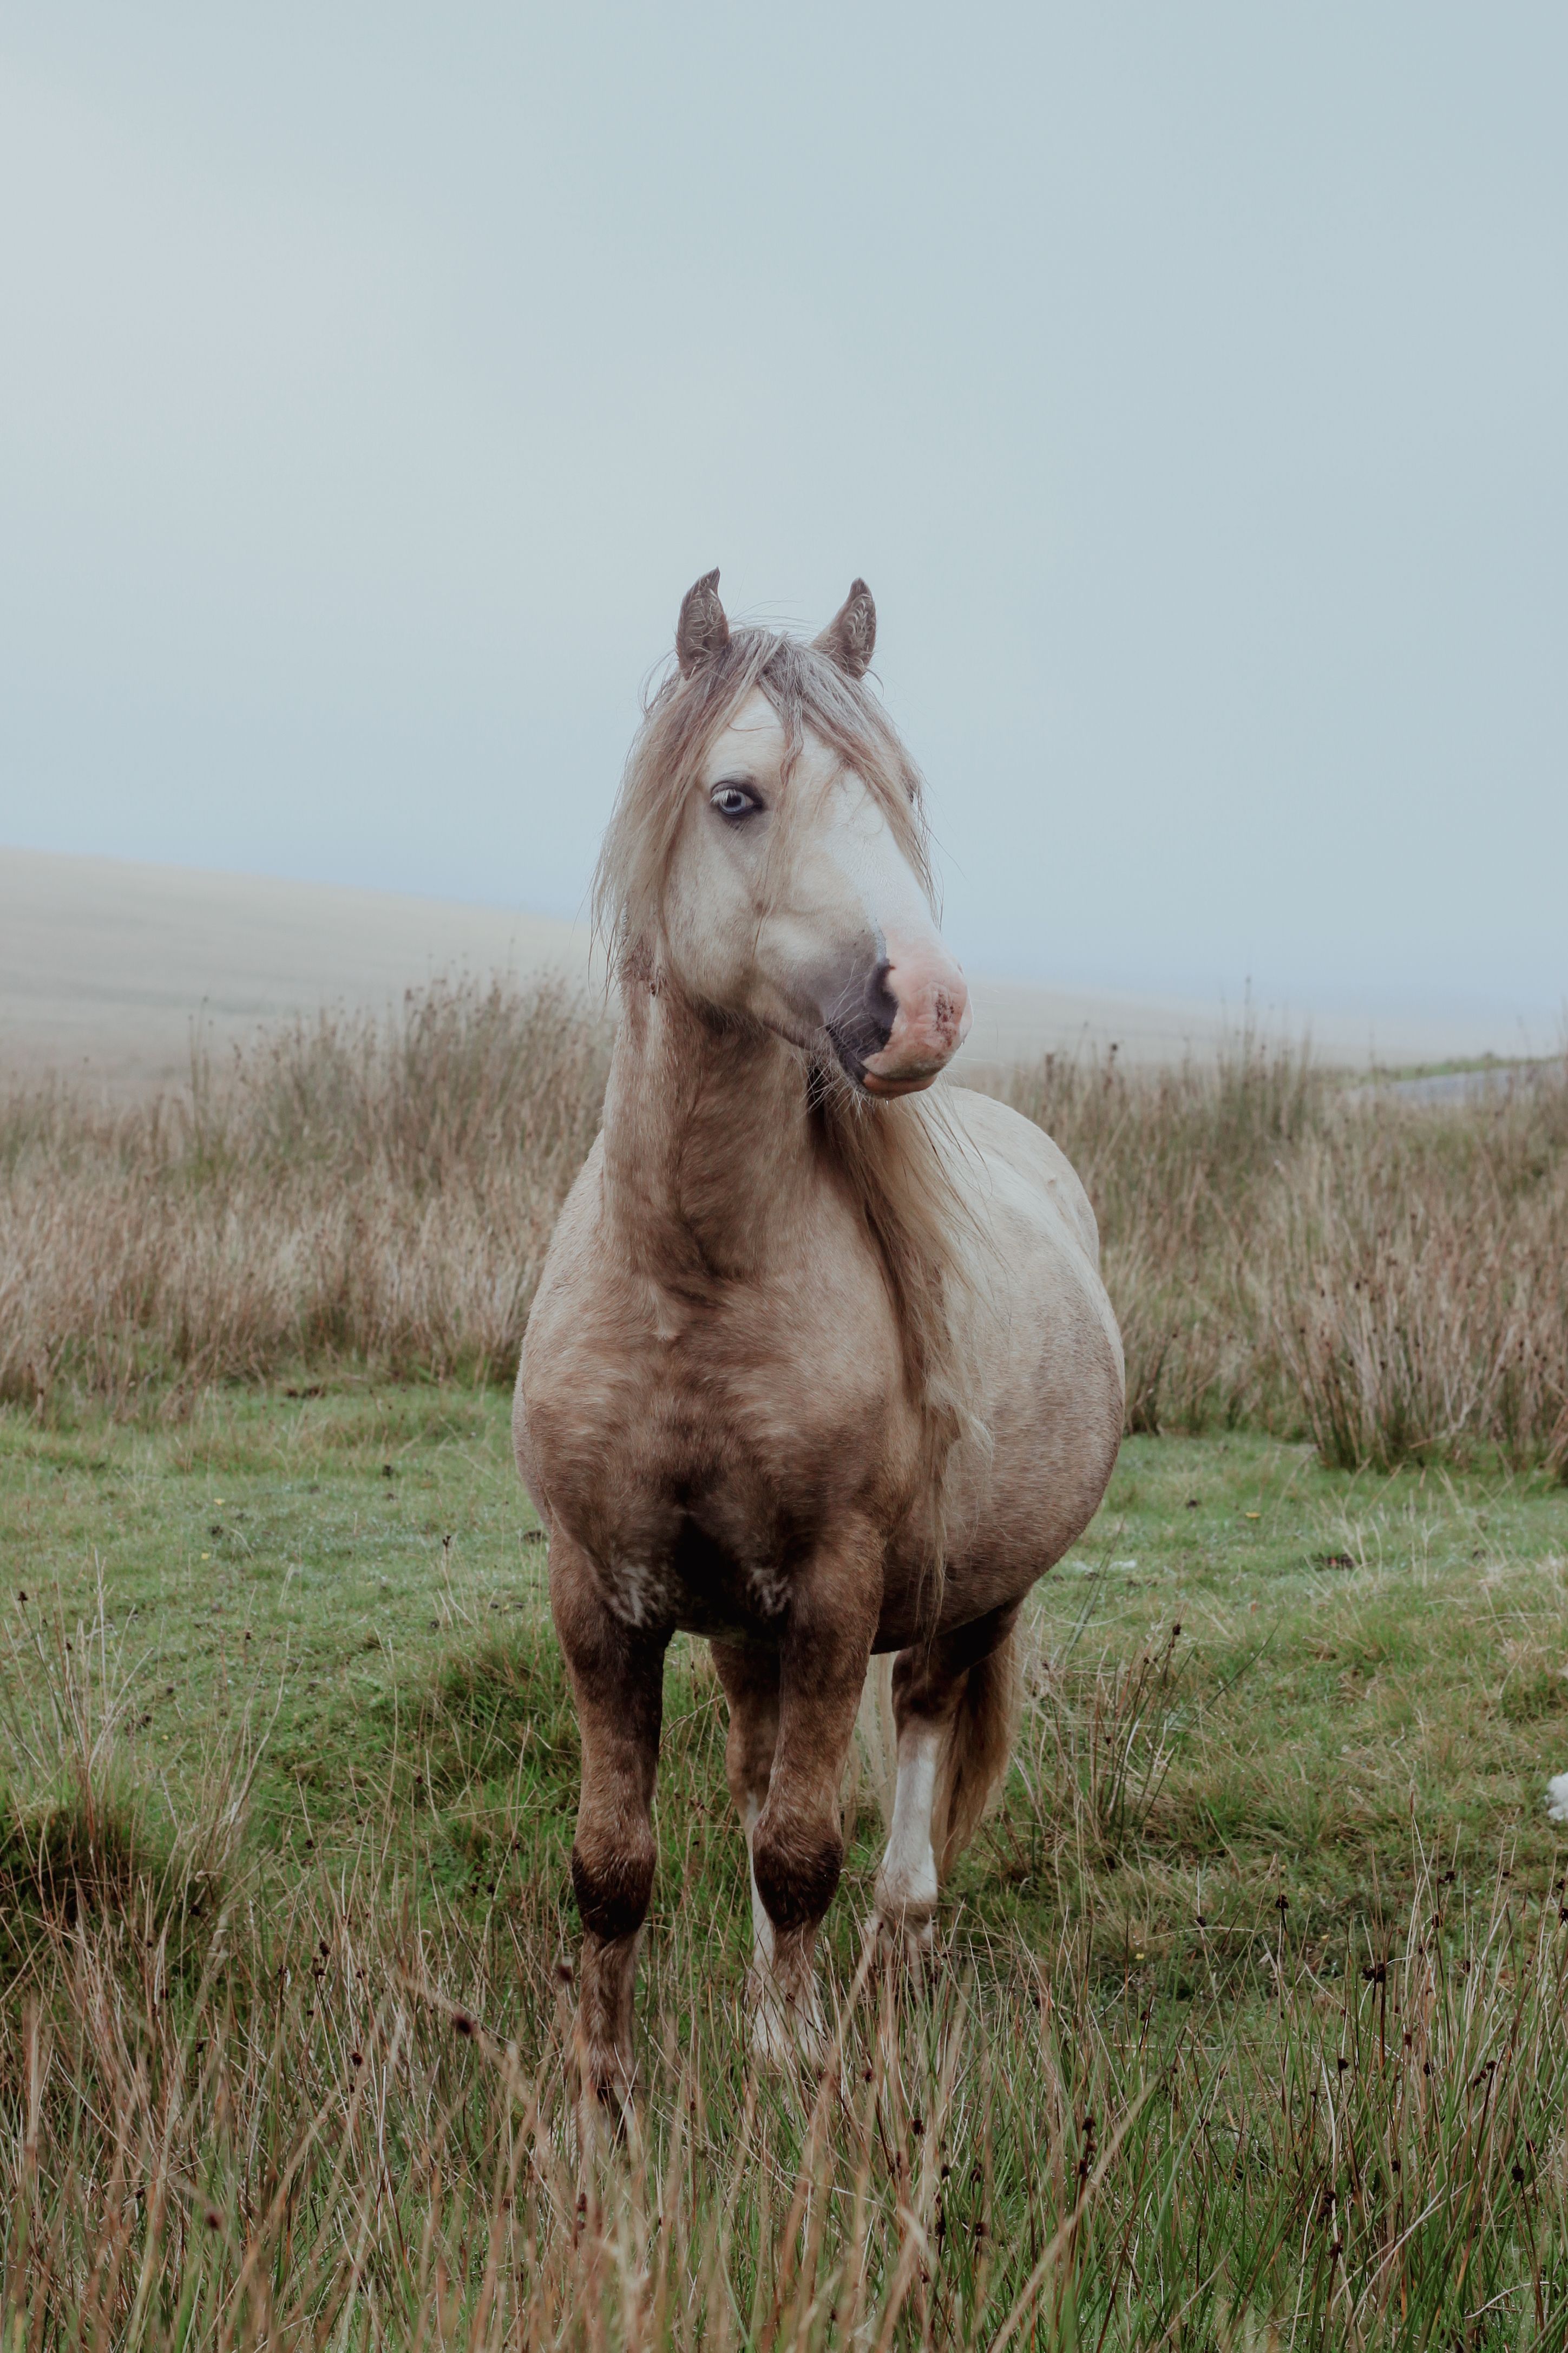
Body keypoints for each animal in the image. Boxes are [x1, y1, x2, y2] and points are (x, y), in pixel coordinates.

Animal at [514, 571, 1124, 2102]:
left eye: (898, 791)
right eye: (735, 796)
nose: (928, 1003)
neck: (688, 1279)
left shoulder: (836, 1592)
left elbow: (801, 1851)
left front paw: (791, 2074)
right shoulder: (597, 1592)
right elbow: (615, 1864)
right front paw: (598, 2087)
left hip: (969, 1597)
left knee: (912, 1747)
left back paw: (886, 1959)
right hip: (742, 1623)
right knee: (753, 1774)